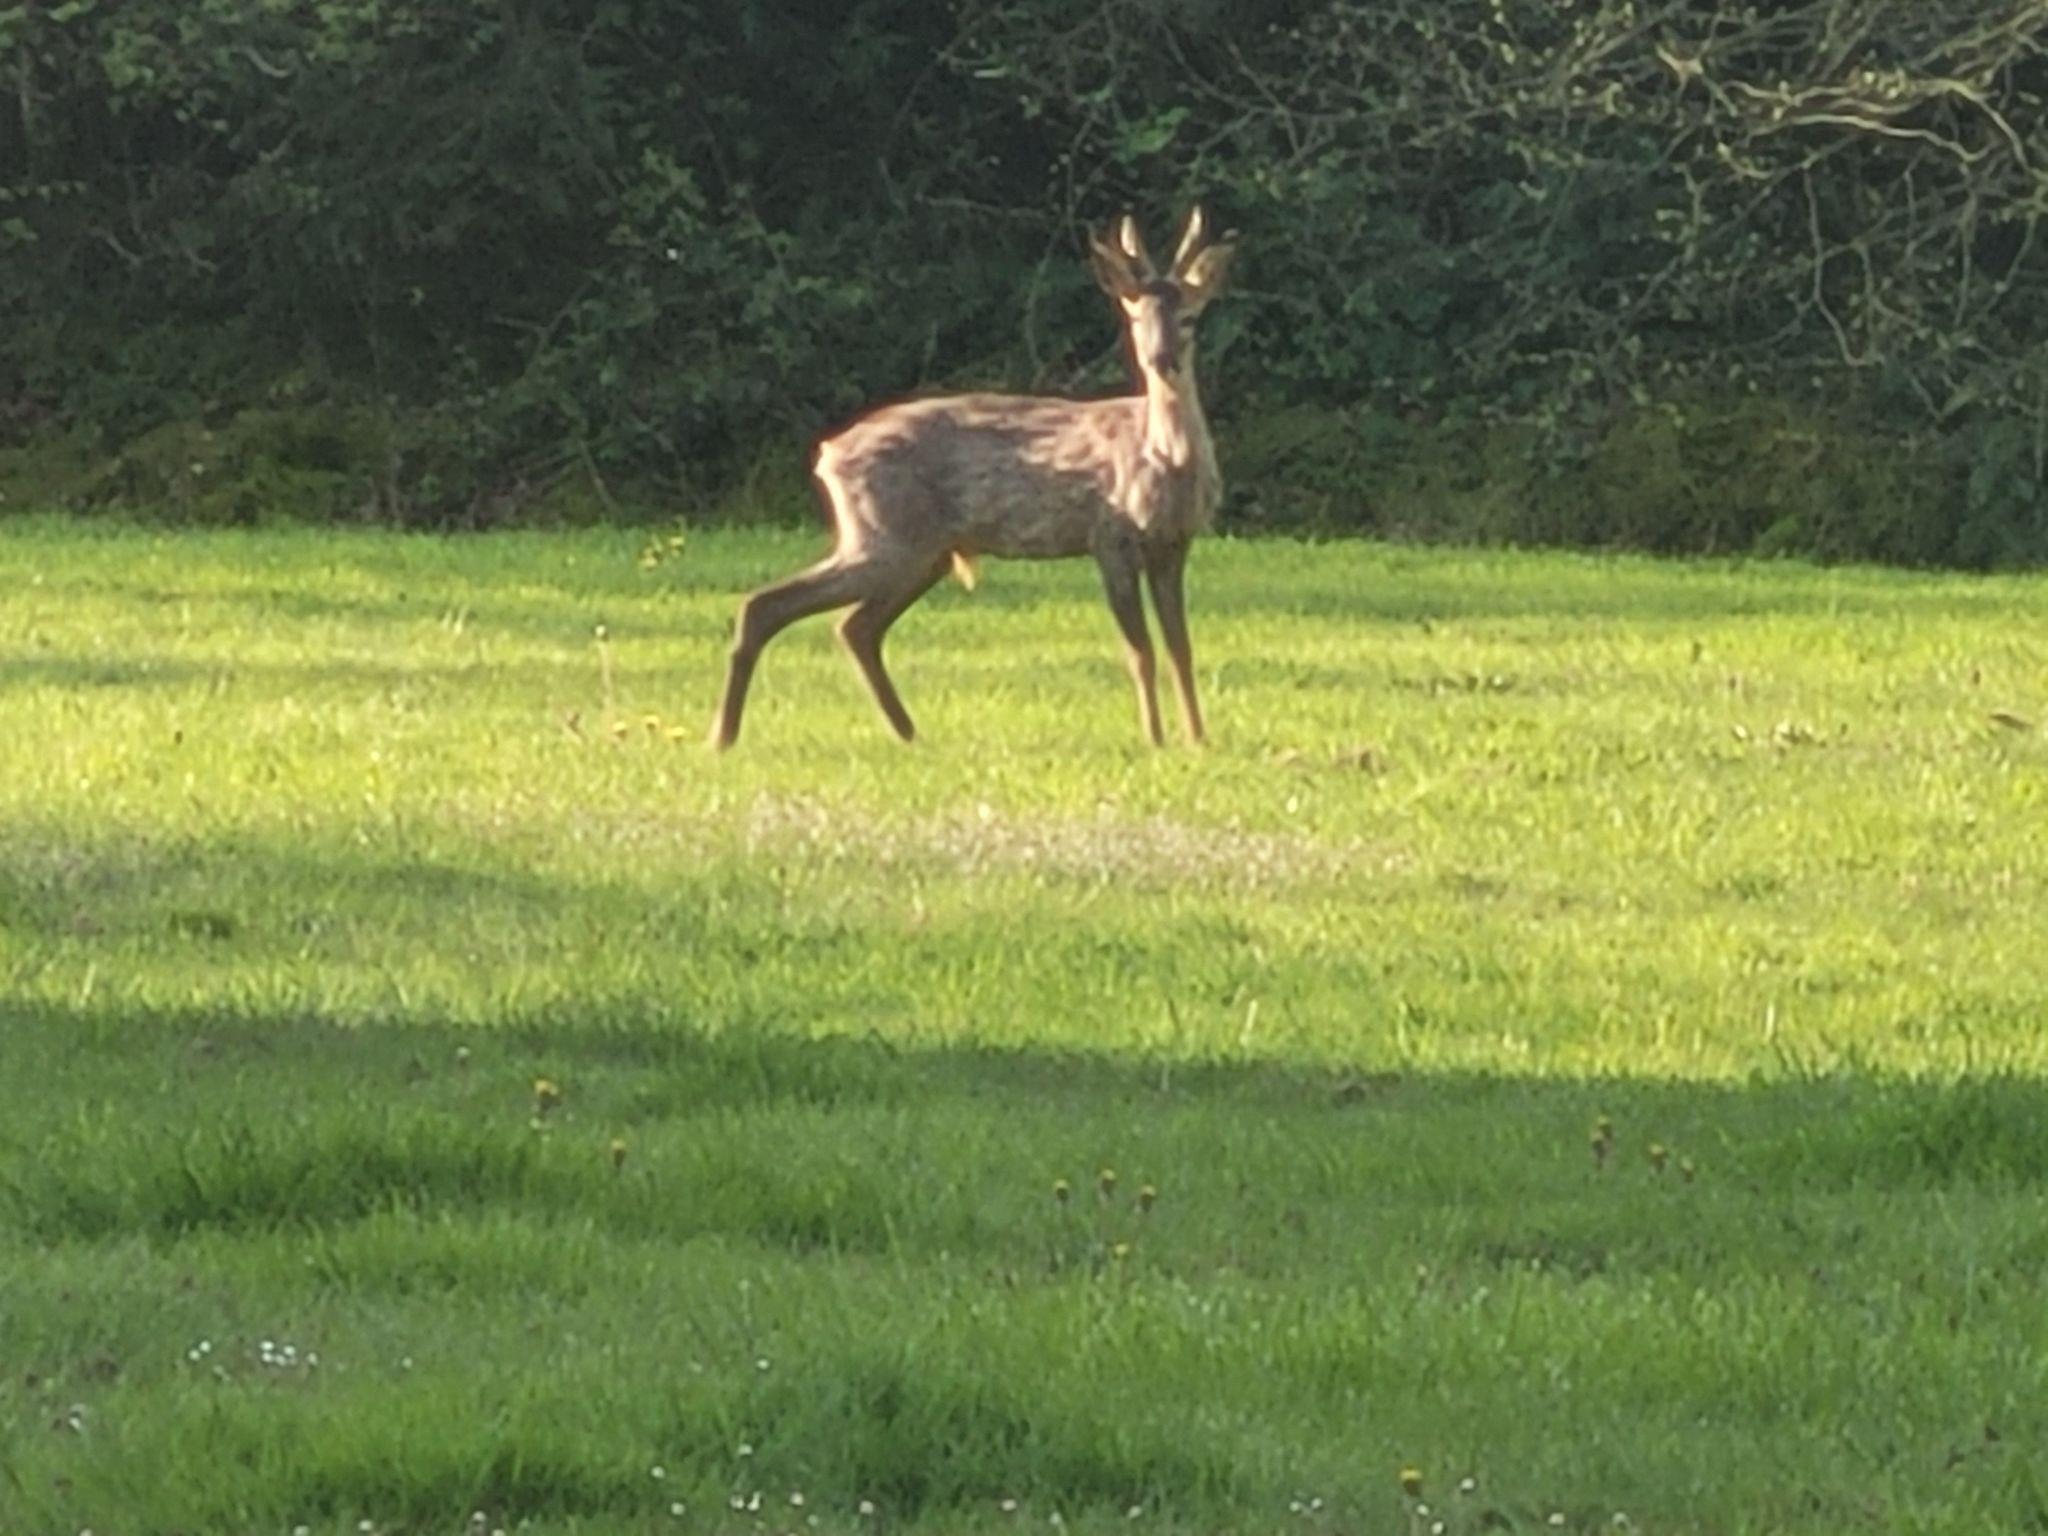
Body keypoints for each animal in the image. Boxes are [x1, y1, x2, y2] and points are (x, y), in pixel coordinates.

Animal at [710, 206, 1237, 750]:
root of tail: (826, 456)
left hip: (921, 552)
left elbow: (1181, 648)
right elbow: (1141, 651)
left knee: (855, 627)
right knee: (769, 604)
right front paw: (1155, 738)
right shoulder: (1110, 536)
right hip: (886, 537)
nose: (1161, 360)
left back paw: (906, 732)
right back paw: (724, 736)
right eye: (1133, 317)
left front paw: (1198, 738)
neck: (1167, 464)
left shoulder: (1174, 544)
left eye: (1189, 317)